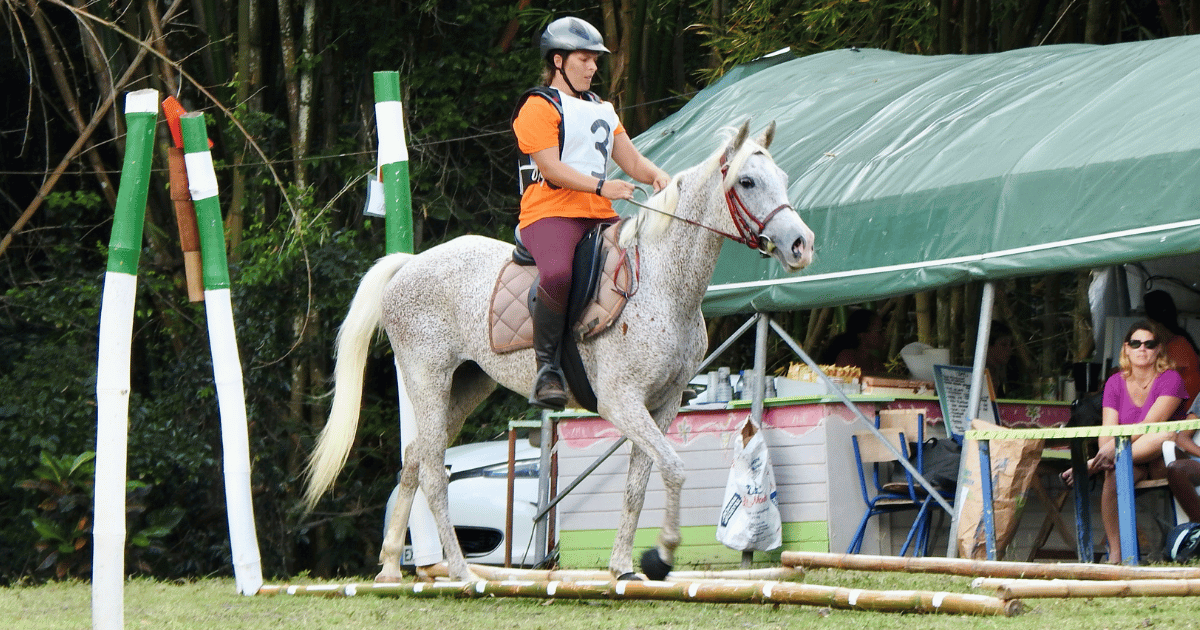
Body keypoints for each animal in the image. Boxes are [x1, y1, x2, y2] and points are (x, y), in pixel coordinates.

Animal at [307, 120, 816, 583]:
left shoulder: (664, 404)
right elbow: (672, 467)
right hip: (427, 379)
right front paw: (662, 554)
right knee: (433, 472)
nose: (801, 245)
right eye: (747, 182)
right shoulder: (620, 402)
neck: (662, 284)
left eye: (782, 177)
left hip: (468, 385)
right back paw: (462, 572)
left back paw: (392, 566)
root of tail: (410, 264)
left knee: (414, 457)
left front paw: (624, 566)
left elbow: (639, 484)